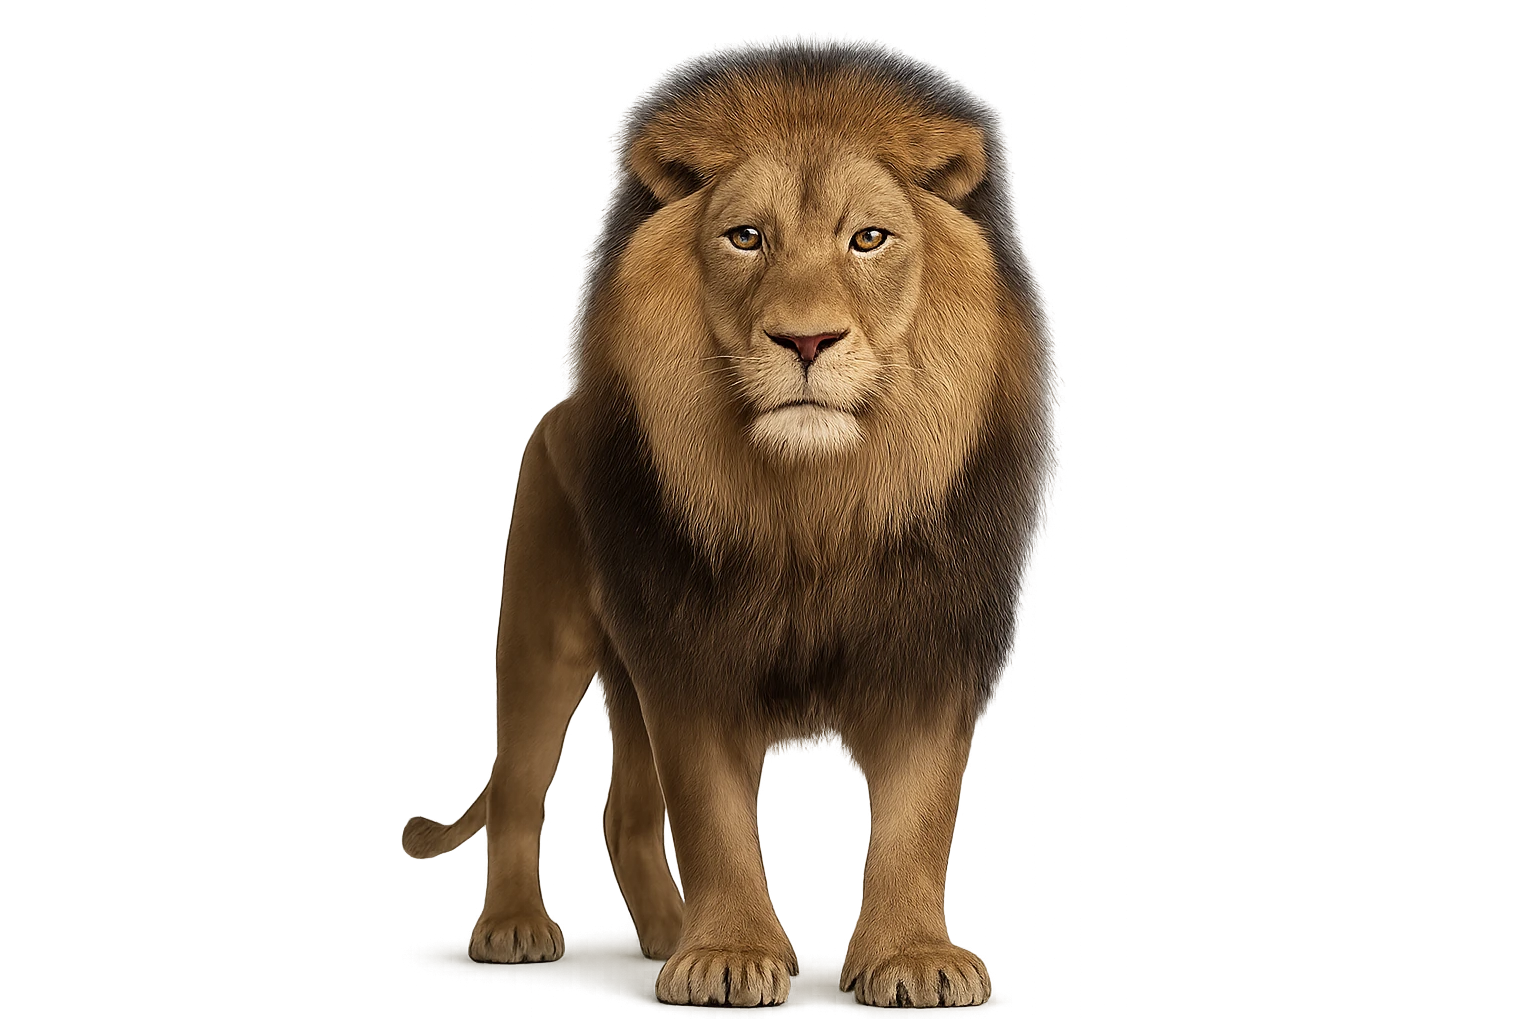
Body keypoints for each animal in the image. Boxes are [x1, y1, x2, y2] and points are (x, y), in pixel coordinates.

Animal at [401, 47, 1047, 1008]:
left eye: (869, 239)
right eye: (745, 237)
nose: (806, 341)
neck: (814, 506)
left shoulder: (928, 645)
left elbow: (919, 815)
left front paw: (911, 958)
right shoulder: (688, 651)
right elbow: (709, 815)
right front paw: (730, 954)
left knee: (625, 810)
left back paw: (664, 930)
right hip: (543, 635)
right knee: (520, 789)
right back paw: (515, 925)